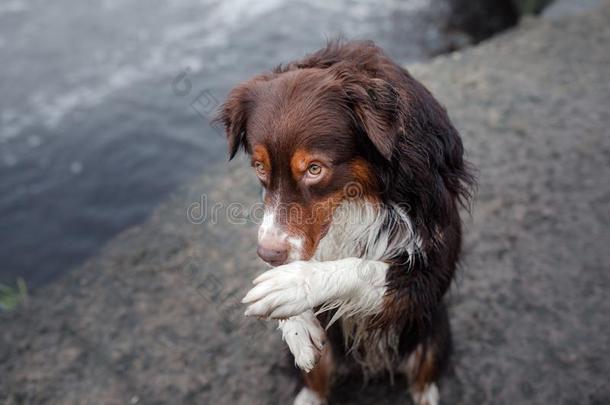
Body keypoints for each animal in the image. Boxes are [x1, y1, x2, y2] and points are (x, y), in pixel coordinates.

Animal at [216, 38, 472, 404]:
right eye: (259, 167)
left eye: (314, 169)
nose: (267, 255)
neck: (366, 193)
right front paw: (296, 323)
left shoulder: (435, 257)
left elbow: (367, 268)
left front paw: (295, 284)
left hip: (435, 331)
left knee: (425, 372)